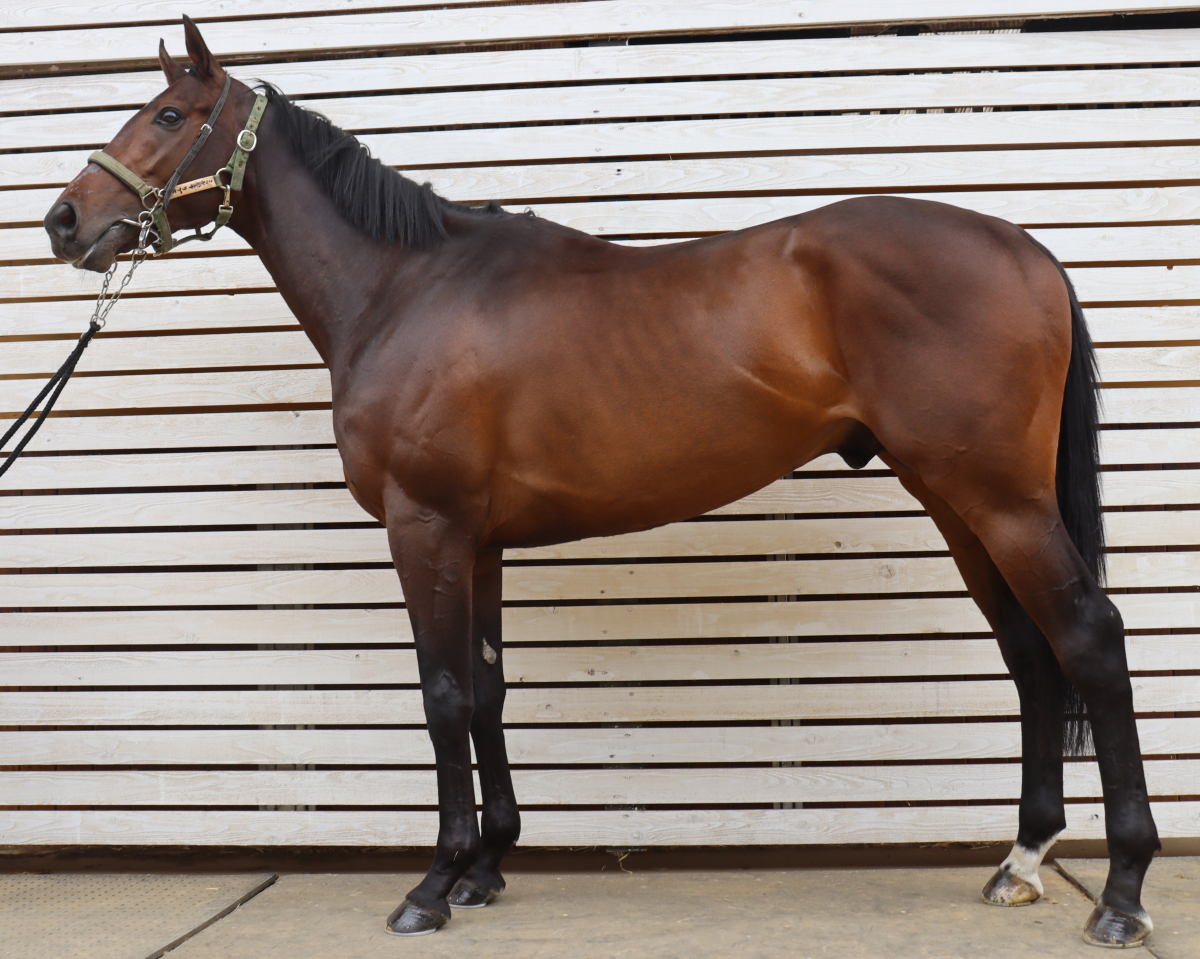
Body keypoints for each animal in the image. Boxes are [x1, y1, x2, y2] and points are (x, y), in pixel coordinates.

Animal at [44, 17, 1159, 947]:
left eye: (170, 115)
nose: (63, 221)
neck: (406, 289)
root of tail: (1024, 247)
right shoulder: (477, 538)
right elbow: (486, 689)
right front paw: (487, 867)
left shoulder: (424, 526)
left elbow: (442, 693)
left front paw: (432, 883)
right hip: (960, 500)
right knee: (1030, 653)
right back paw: (1021, 859)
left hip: (1000, 499)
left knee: (1089, 640)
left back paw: (1120, 892)